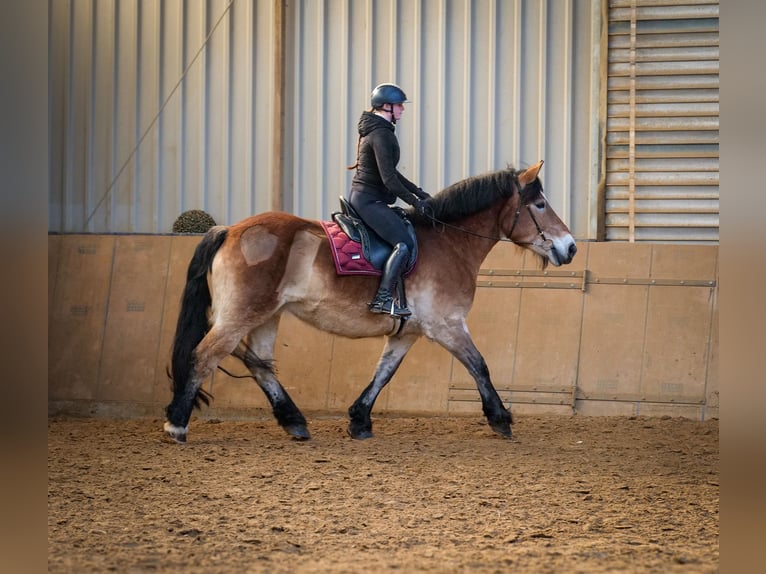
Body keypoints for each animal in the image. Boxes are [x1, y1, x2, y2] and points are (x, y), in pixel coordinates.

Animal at [165, 162, 580, 446]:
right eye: (539, 204)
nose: (571, 247)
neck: (449, 242)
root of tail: (229, 230)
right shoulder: (446, 325)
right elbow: (479, 365)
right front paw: (500, 418)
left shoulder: (408, 332)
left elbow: (384, 372)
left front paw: (359, 419)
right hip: (240, 315)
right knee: (205, 356)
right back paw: (177, 423)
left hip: (268, 315)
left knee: (260, 364)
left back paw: (294, 421)